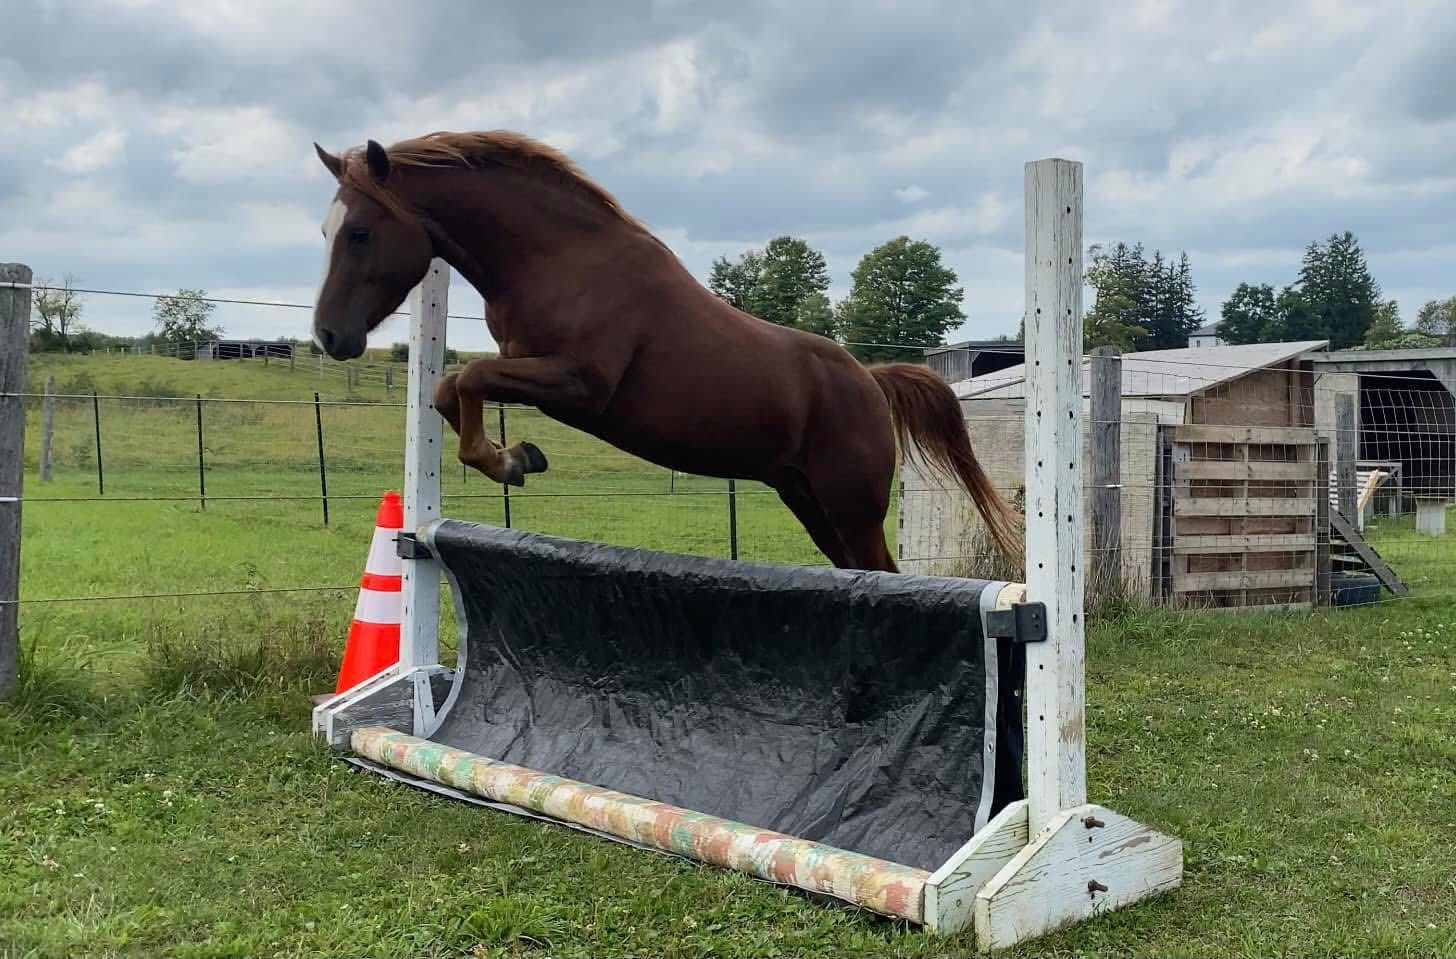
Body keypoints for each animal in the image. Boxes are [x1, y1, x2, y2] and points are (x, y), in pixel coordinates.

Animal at [310, 131, 1022, 572]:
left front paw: (510, 461)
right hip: (808, 498)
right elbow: (446, 387)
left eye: (362, 233)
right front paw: (517, 457)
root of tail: (871, 382)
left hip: (851, 503)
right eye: (326, 231)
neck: (559, 259)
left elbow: (471, 376)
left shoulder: (580, 385)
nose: (328, 336)